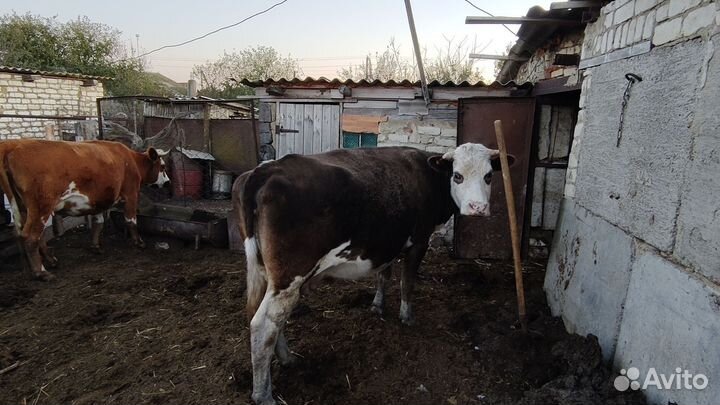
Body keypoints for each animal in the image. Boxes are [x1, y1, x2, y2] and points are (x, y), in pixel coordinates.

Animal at [0, 139, 170, 280]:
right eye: (162, 166)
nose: (168, 182)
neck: (132, 160)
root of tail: (13, 145)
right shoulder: (131, 194)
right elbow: (131, 220)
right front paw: (139, 242)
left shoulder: (100, 200)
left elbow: (98, 222)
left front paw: (95, 246)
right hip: (41, 207)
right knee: (30, 237)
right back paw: (41, 272)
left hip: (26, 208)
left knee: (38, 236)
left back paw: (51, 260)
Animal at [233, 143, 514, 405]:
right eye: (457, 176)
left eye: (489, 175)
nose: (477, 207)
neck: (427, 174)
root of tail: (264, 170)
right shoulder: (419, 241)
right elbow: (407, 282)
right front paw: (406, 316)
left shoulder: (388, 243)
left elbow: (383, 276)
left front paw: (378, 305)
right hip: (289, 276)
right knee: (264, 324)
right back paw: (263, 394)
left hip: (266, 273)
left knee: (267, 317)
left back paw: (287, 358)